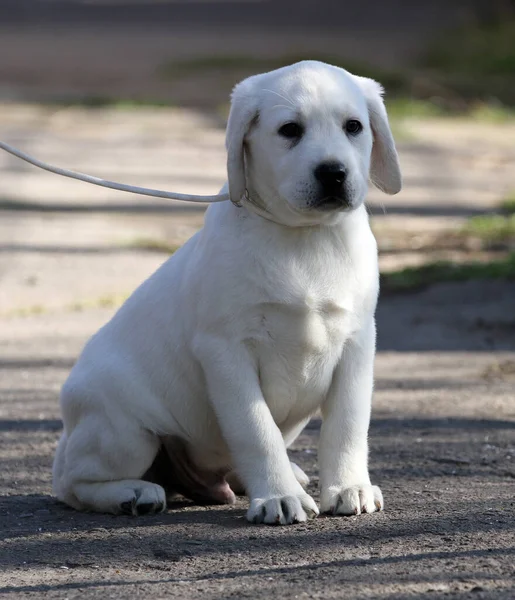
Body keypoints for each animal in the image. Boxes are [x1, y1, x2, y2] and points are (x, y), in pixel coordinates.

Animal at [52, 61, 402, 524]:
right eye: (290, 130)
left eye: (354, 127)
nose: (333, 172)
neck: (303, 237)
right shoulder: (226, 351)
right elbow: (256, 429)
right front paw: (278, 497)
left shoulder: (357, 343)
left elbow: (347, 425)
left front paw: (348, 487)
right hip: (122, 431)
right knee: (72, 483)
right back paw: (132, 492)